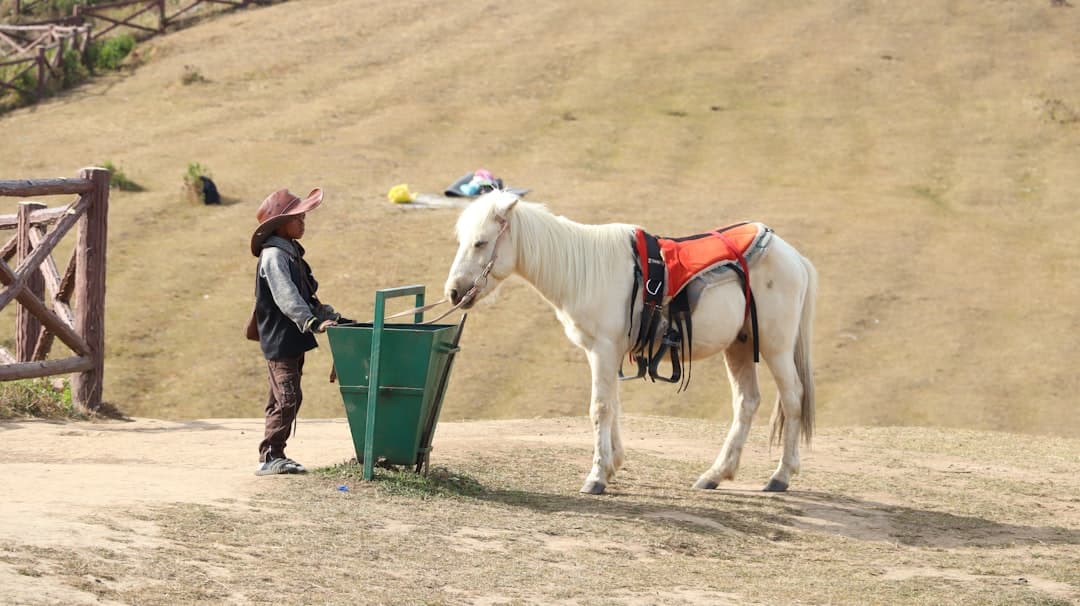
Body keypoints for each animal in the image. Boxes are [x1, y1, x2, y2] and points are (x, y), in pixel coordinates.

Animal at [443, 190, 817, 495]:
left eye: (480, 243)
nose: (454, 292)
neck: (584, 271)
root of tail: (794, 257)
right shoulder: (606, 353)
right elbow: (613, 404)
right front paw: (612, 465)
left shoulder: (603, 350)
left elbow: (600, 408)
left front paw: (596, 477)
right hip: (739, 345)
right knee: (746, 402)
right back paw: (715, 474)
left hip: (775, 347)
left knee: (792, 398)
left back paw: (780, 476)